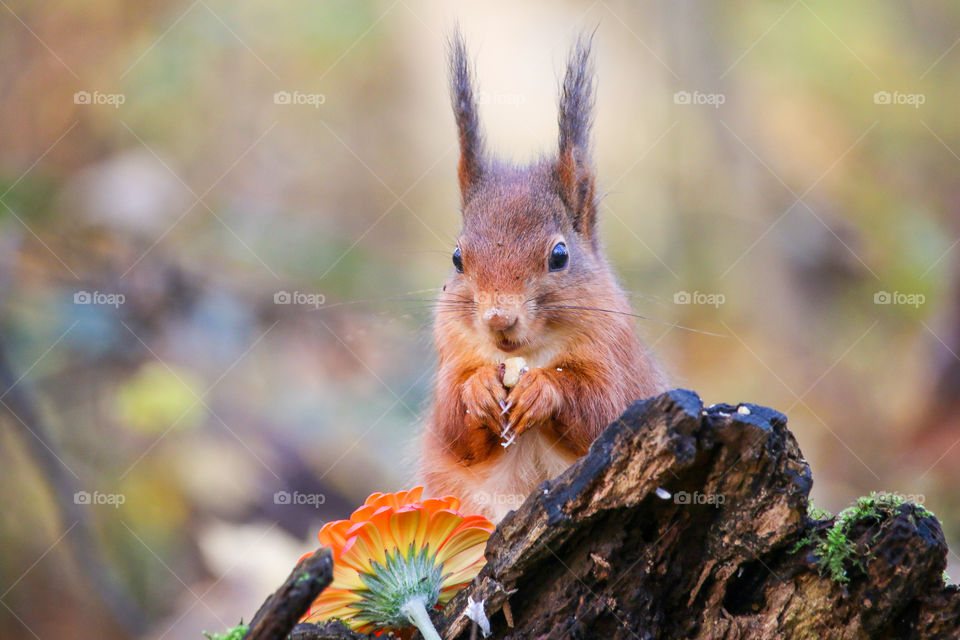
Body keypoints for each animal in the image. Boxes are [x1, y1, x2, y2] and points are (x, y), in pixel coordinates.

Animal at [420, 31, 669, 522]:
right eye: (458, 258)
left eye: (559, 255)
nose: (499, 319)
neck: (529, 354)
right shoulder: (450, 356)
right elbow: (453, 430)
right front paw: (478, 390)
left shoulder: (619, 365)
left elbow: (601, 411)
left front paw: (543, 391)